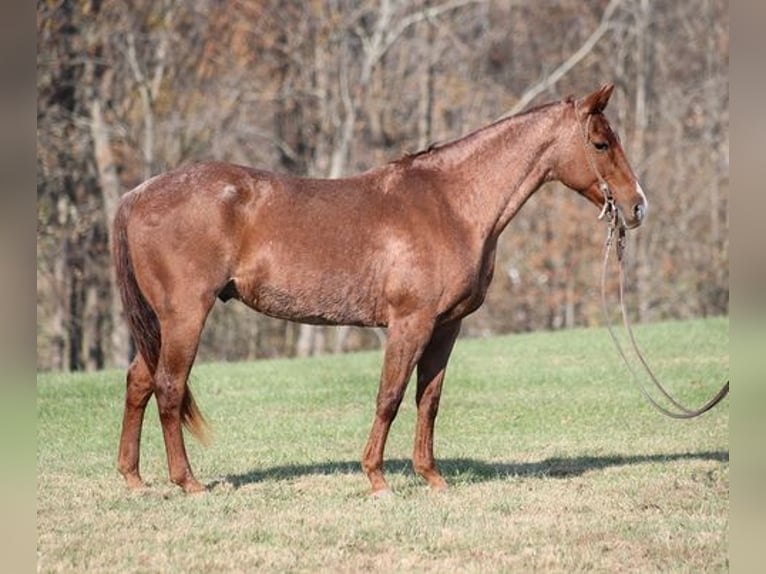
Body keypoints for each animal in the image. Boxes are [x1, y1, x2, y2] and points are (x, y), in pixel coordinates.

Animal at [111, 83, 648, 498]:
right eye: (600, 143)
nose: (637, 206)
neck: (451, 204)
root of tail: (138, 193)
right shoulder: (410, 323)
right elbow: (389, 395)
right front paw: (377, 479)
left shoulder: (446, 326)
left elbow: (428, 399)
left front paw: (431, 477)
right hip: (185, 315)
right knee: (168, 387)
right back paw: (187, 482)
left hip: (162, 322)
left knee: (139, 381)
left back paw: (134, 480)